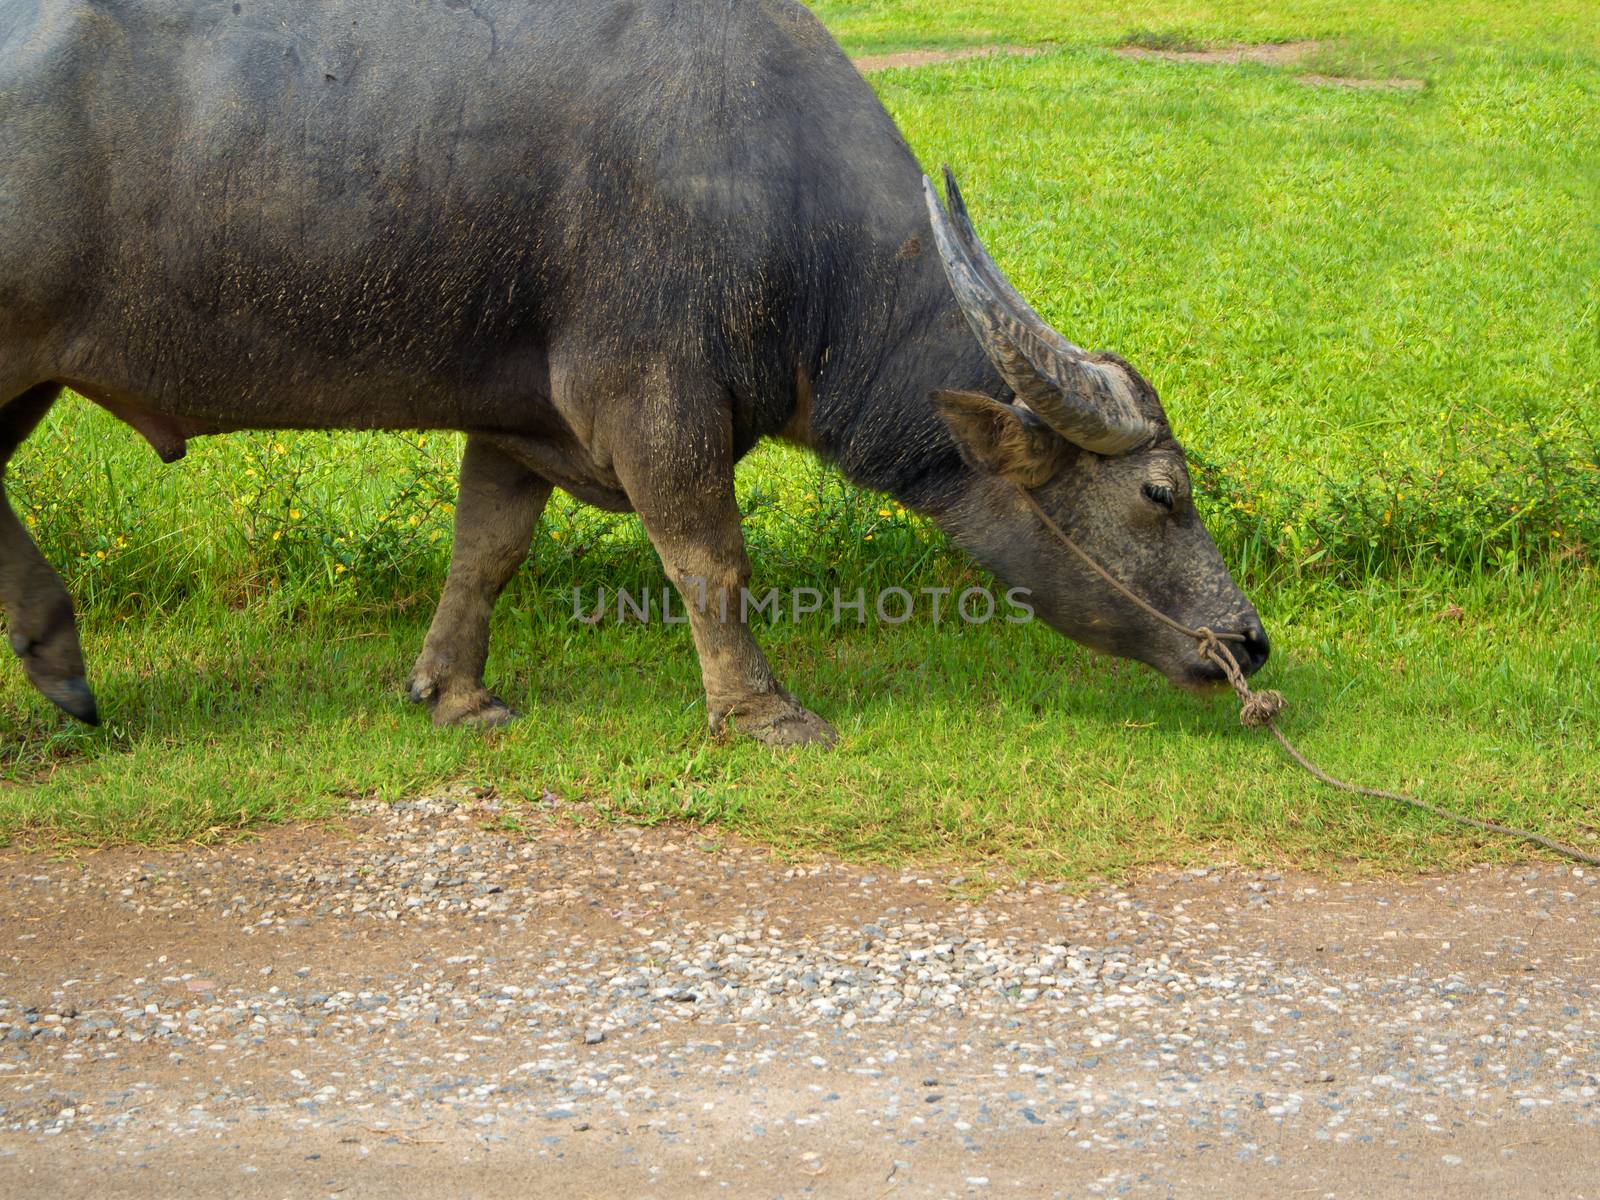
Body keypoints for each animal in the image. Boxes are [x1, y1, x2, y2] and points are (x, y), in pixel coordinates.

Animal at [3, 0, 1273, 742]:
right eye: (1161, 495)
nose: (1249, 644)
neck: (778, 191)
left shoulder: (516, 419)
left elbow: (485, 552)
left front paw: (453, 691)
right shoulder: (649, 394)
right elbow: (709, 558)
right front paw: (761, 712)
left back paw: (60, 664)